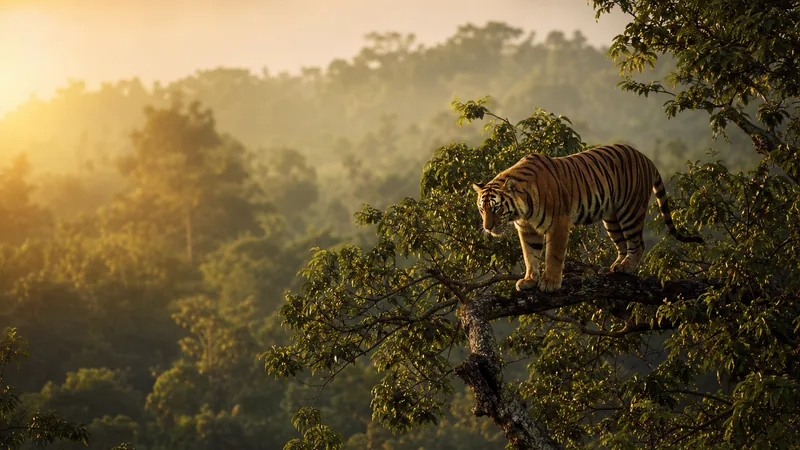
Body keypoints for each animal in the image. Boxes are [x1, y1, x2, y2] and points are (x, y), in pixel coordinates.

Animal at [472, 143, 703, 292]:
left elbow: (553, 255)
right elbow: (530, 256)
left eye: (496, 209)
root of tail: (645, 157)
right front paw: (529, 280)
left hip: (630, 211)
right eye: (482, 210)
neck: (522, 210)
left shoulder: (559, 223)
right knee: (622, 244)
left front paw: (550, 282)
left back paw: (627, 268)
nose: (488, 227)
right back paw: (613, 268)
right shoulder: (527, 229)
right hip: (611, 219)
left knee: (638, 243)